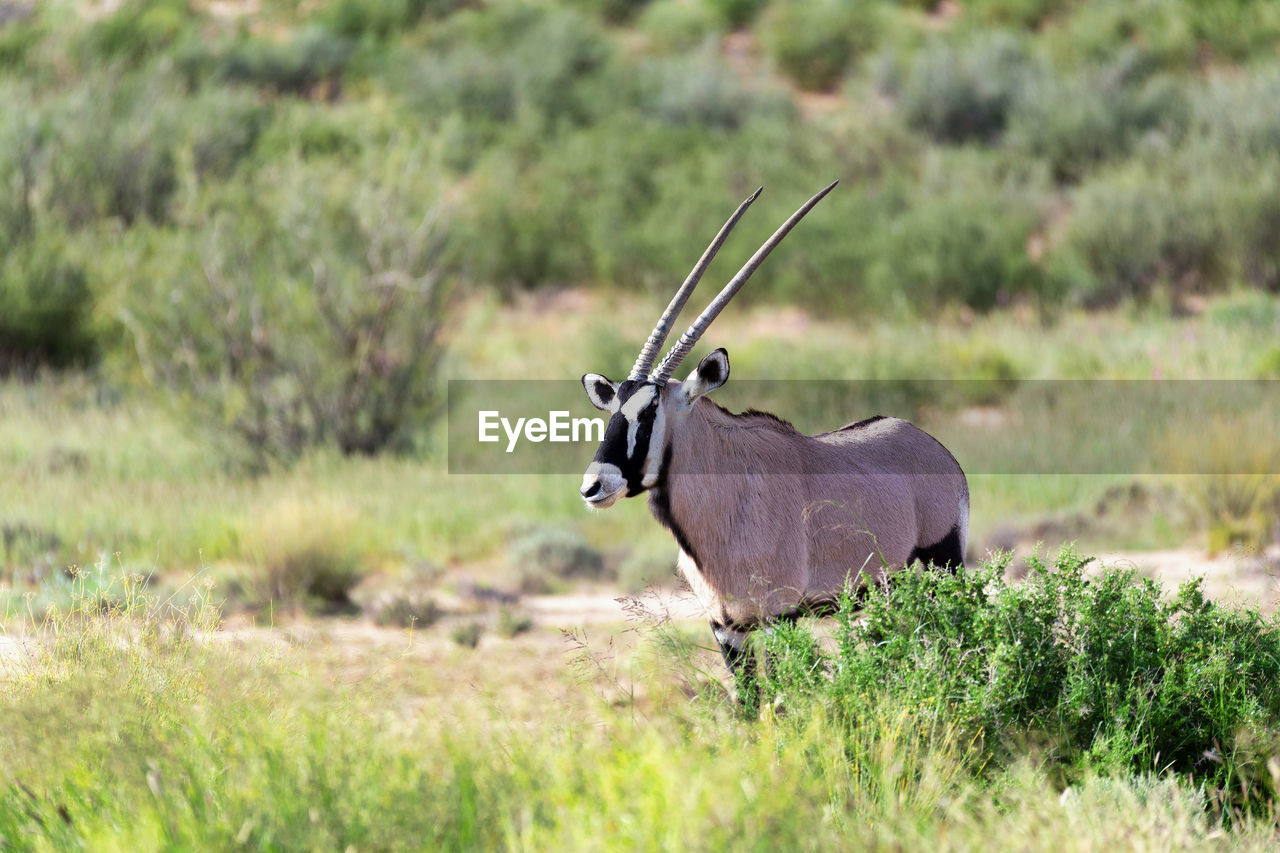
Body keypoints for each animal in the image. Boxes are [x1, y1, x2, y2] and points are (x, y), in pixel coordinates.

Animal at [581, 184, 967, 686]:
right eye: (611, 410)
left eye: (648, 412)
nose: (594, 486)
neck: (724, 499)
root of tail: (940, 453)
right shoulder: (727, 627)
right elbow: (750, 701)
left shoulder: (779, 616)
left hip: (943, 568)